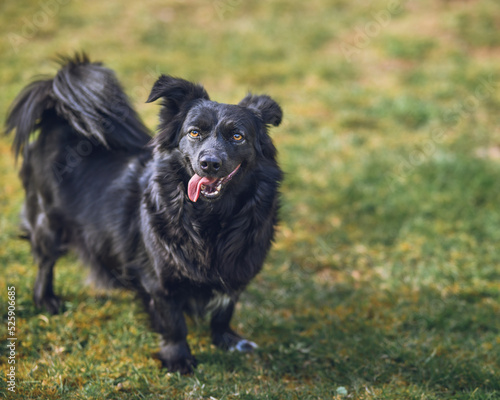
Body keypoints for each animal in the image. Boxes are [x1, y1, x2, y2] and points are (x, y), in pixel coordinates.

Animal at [5, 54, 284, 376]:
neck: (209, 218)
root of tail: (59, 119)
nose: (209, 163)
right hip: (47, 222)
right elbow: (173, 323)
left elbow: (225, 308)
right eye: (194, 132)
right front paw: (178, 359)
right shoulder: (159, 279)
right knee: (45, 262)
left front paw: (226, 339)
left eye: (238, 136)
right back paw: (46, 300)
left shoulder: (238, 265)